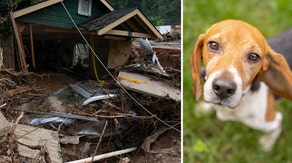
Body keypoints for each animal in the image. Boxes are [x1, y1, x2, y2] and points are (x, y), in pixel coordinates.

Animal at [190, 19, 292, 152]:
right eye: (213, 45)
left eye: (253, 56)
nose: (223, 88)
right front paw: (205, 108)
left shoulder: (271, 121)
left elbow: (276, 129)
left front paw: (267, 143)